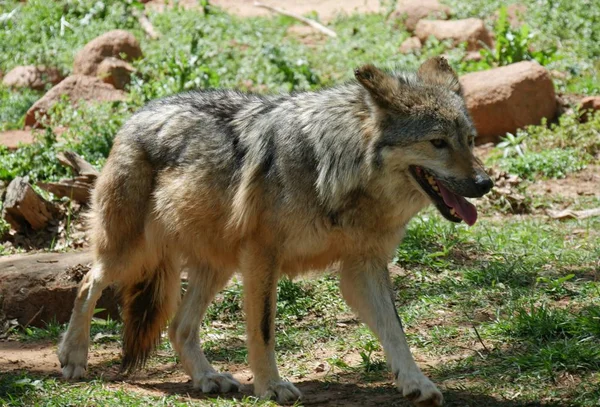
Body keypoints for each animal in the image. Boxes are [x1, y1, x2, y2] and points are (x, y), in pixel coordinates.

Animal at [57, 55, 492, 406]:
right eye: (438, 142)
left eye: (470, 141)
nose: (485, 183)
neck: (335, 168)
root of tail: (135, 115)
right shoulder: (262, 257)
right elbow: (263, 330)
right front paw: (271, 387)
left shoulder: (363, 266)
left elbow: (396, 331)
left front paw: (417, 383)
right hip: (135, 253)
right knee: (88, 282)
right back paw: (73, 357)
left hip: (216, 266)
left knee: (179, 326)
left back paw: (208, 378)